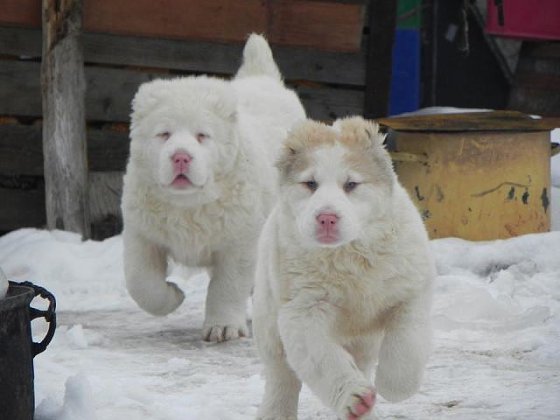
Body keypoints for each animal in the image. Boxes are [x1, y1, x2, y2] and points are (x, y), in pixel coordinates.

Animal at [122, 32, 306, 342]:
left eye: (201, 136)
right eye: (164, 134)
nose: (180, 156)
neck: (189, 204)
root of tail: (262, 78)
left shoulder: (240, 242)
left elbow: (227, 286)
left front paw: (223, 326)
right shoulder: (142, 234)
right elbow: (141, 282)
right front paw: (173, 296)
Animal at [253, 117, 434, 420]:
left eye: (351, 184)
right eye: (310, 184)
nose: (327, 217)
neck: (348, 254)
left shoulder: (409, 292)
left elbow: (406, 345)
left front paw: (394, 386)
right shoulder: (302, 312)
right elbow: (325, 360)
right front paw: (356, 398)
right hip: (269, 325)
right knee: (282, 378)